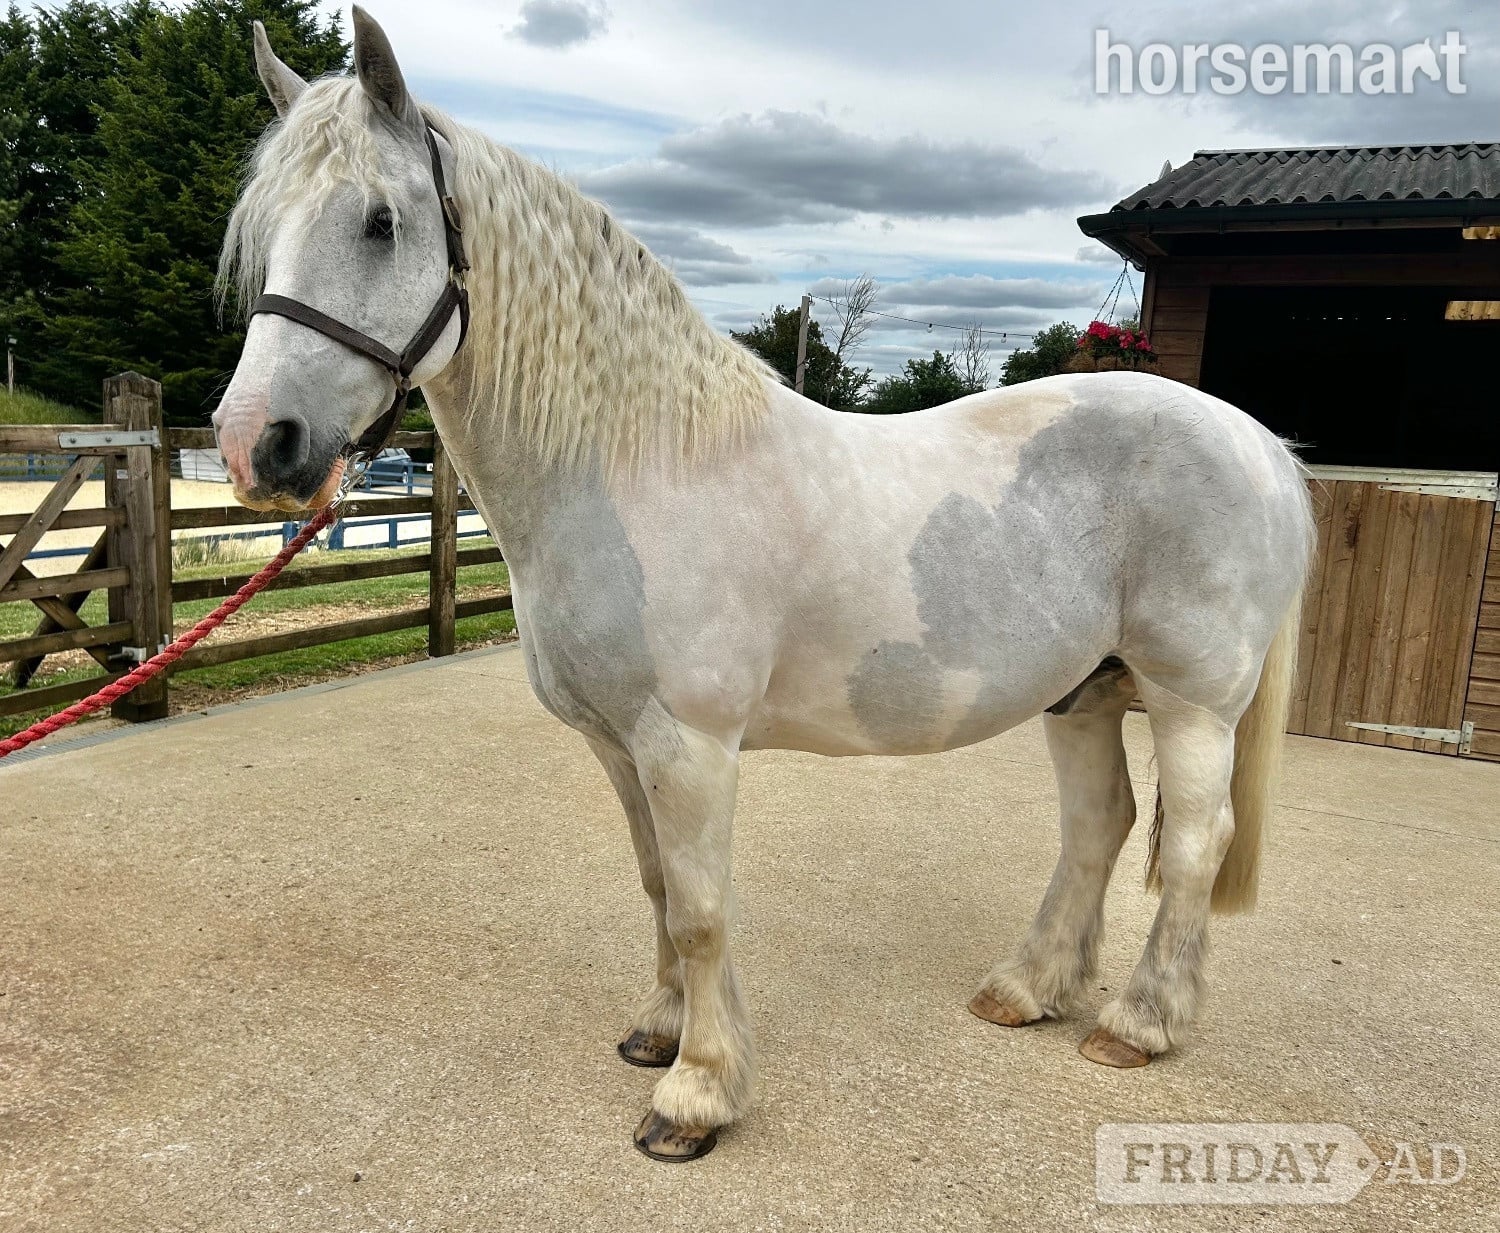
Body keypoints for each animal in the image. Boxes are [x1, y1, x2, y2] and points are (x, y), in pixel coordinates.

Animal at [213, 8, 1316, 1162]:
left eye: (380, 222)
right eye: (264, 229)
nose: (256, 446)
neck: (640, 469)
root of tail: (1261, 446)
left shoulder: (687, 745)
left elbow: (701, 909)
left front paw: (696, 1095)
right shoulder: (618, 746)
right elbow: (658, 888)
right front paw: (658, 1034)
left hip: (1192, 702)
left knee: (1191, 843)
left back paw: (1137, 1024)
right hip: (1084, 693)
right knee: (1100, 826)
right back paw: (1027, 989)